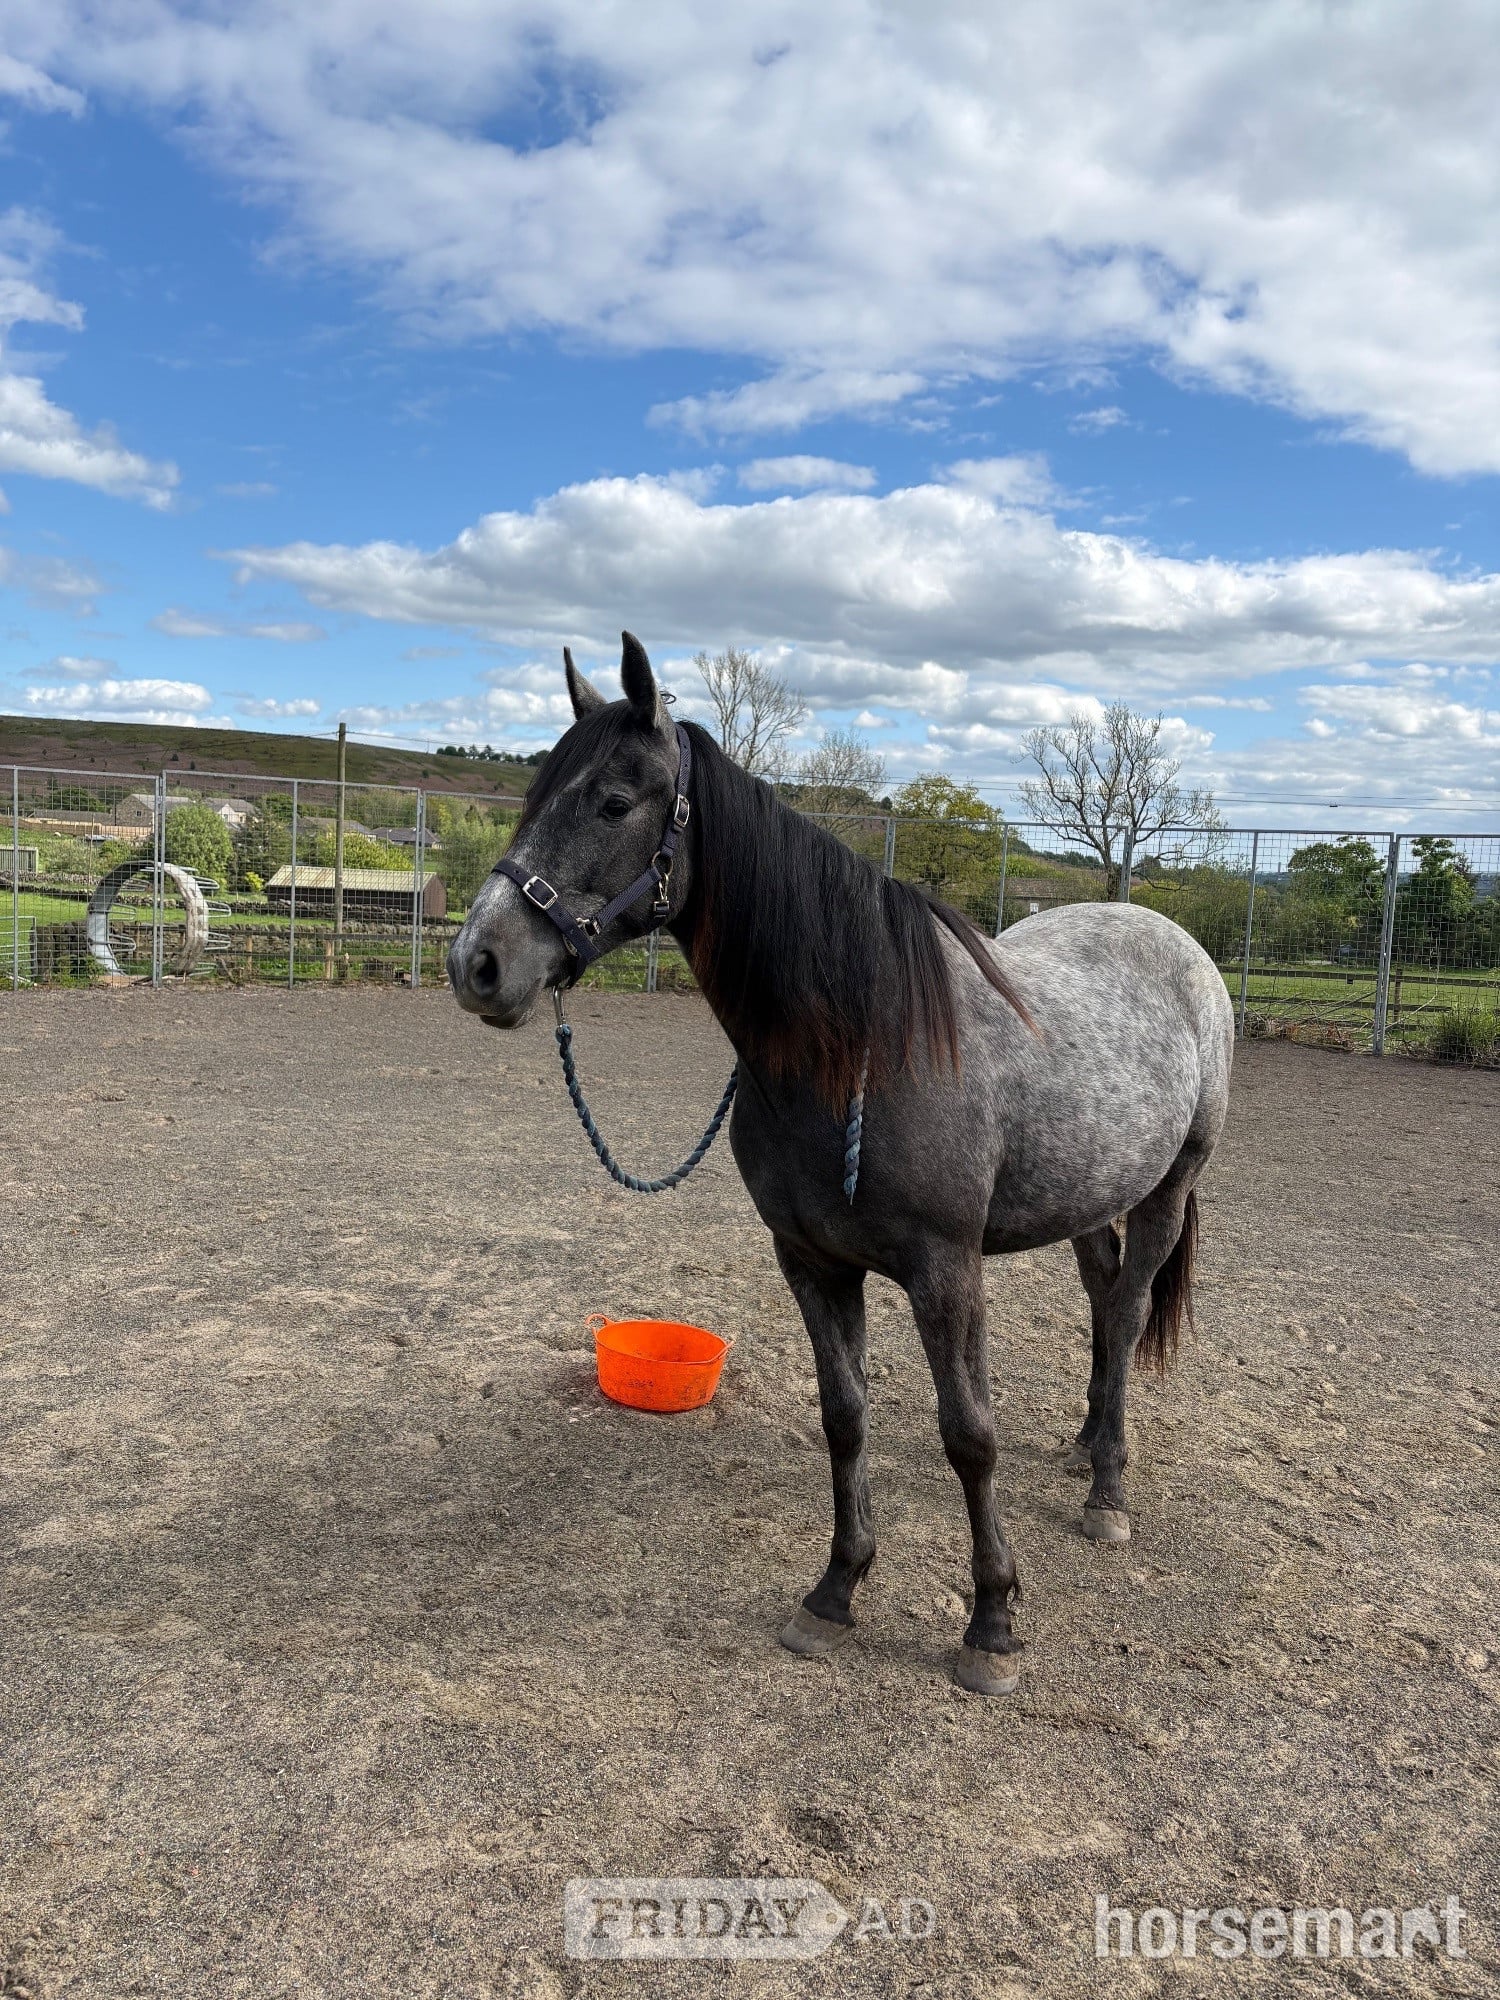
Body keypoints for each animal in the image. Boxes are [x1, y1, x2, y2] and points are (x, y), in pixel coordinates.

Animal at [448, 633, 1233, 1696]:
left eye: (612, 801)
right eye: (534, 794)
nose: (477, 963)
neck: (859, 1044)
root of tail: (1173, 940)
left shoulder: (946, 1271)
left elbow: (968, 1436)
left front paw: (991, 1624)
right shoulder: (813, 1263)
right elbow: (846, 1418)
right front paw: (836, 1590)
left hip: (1167, 1190)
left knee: (1132, 1305)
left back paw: (1108, 1488)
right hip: (1087, 1201)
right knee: (1107, 1304)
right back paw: (1082, 1448)